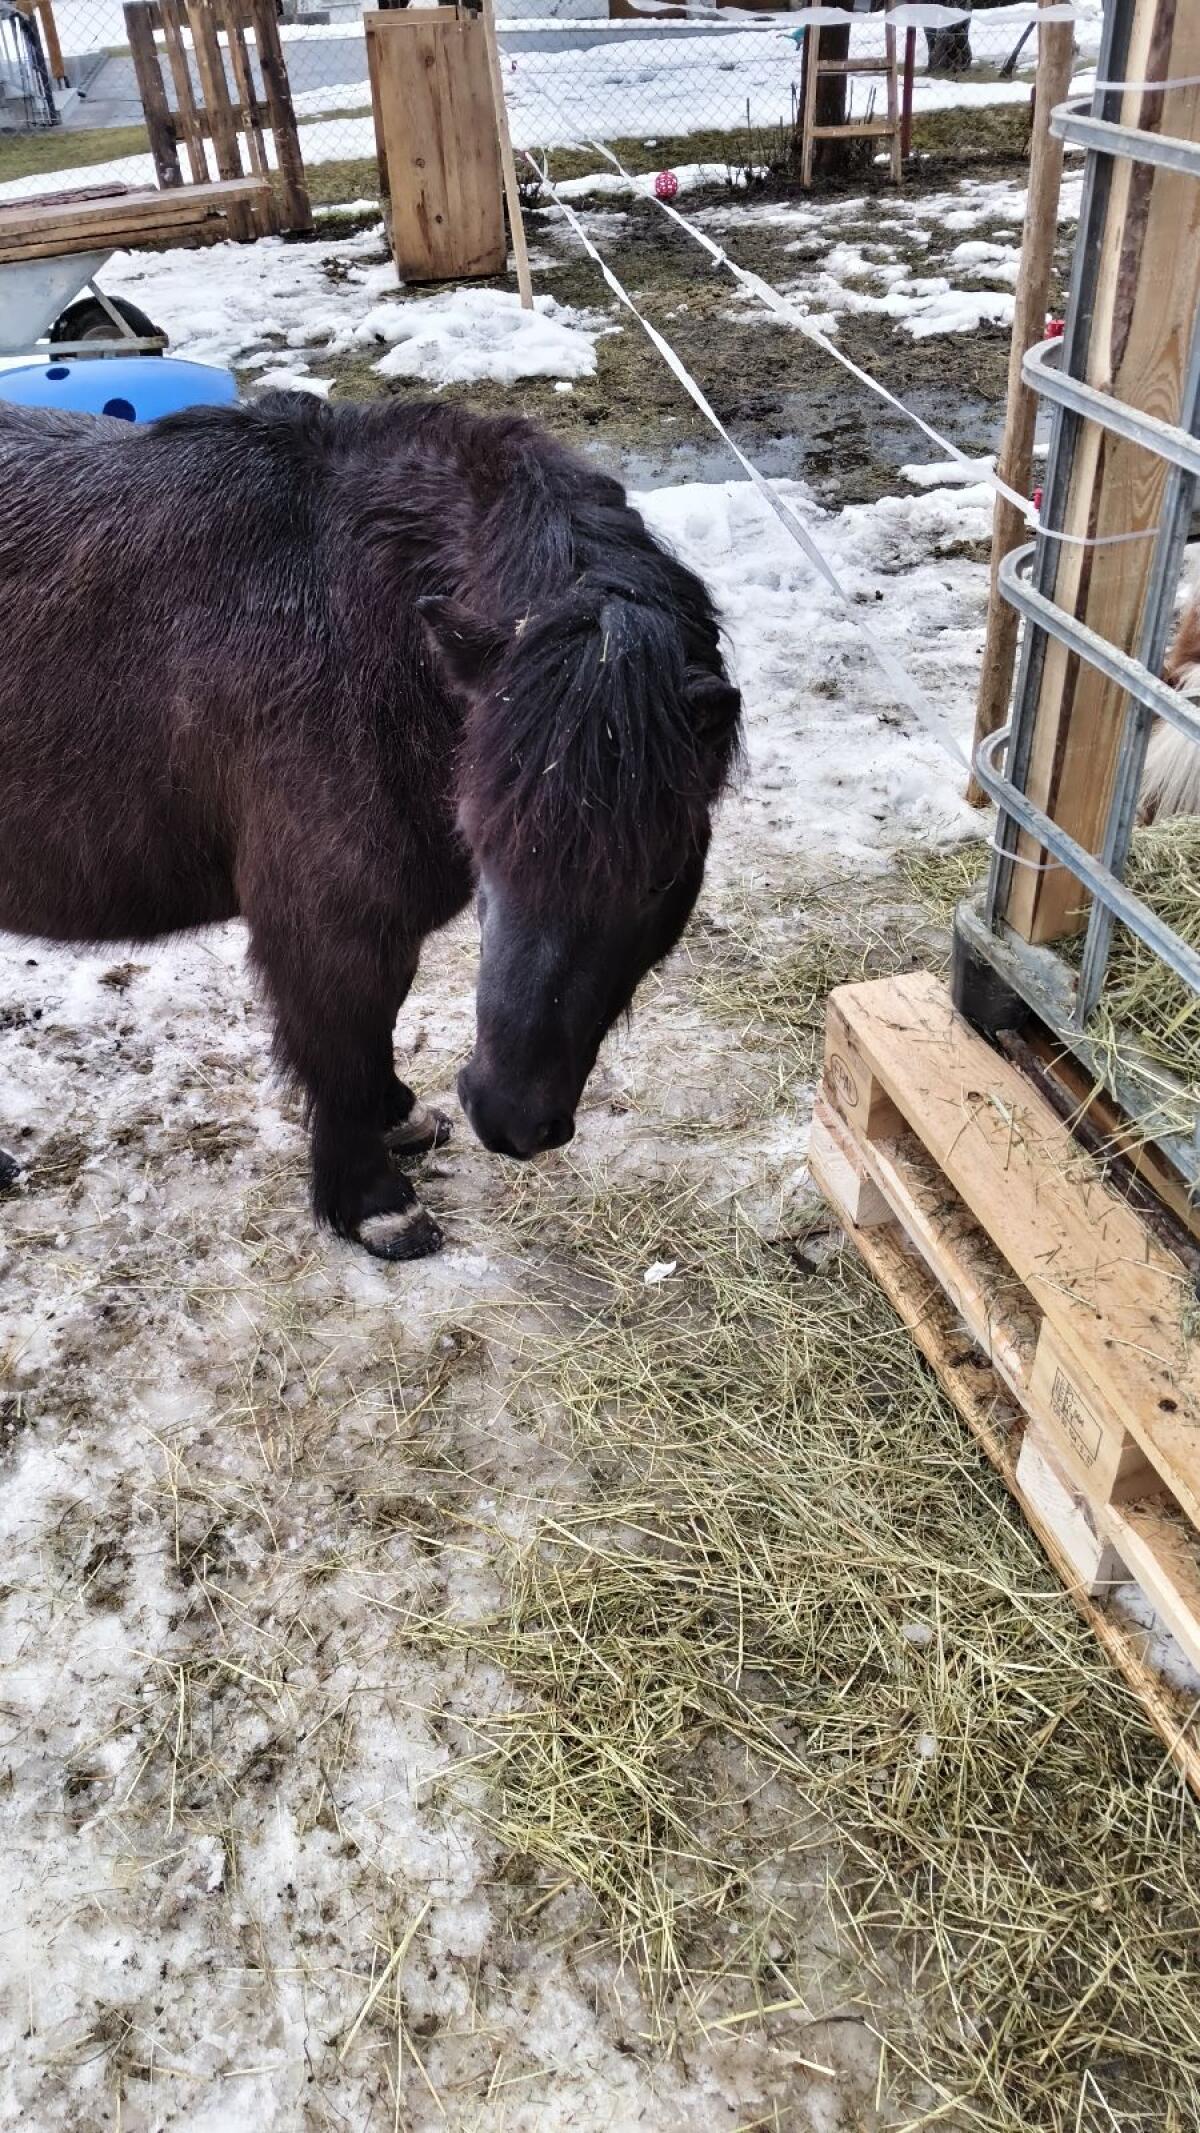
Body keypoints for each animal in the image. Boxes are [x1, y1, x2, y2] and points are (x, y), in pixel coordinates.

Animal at [0, 395, 742, 1258]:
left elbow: (378, 1021)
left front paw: (399, 1118)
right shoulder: (328, 919)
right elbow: (341, 1040)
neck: (352, 618)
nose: (509, 1118)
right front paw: (375, 1203)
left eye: (661, 874)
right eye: (486, 844)